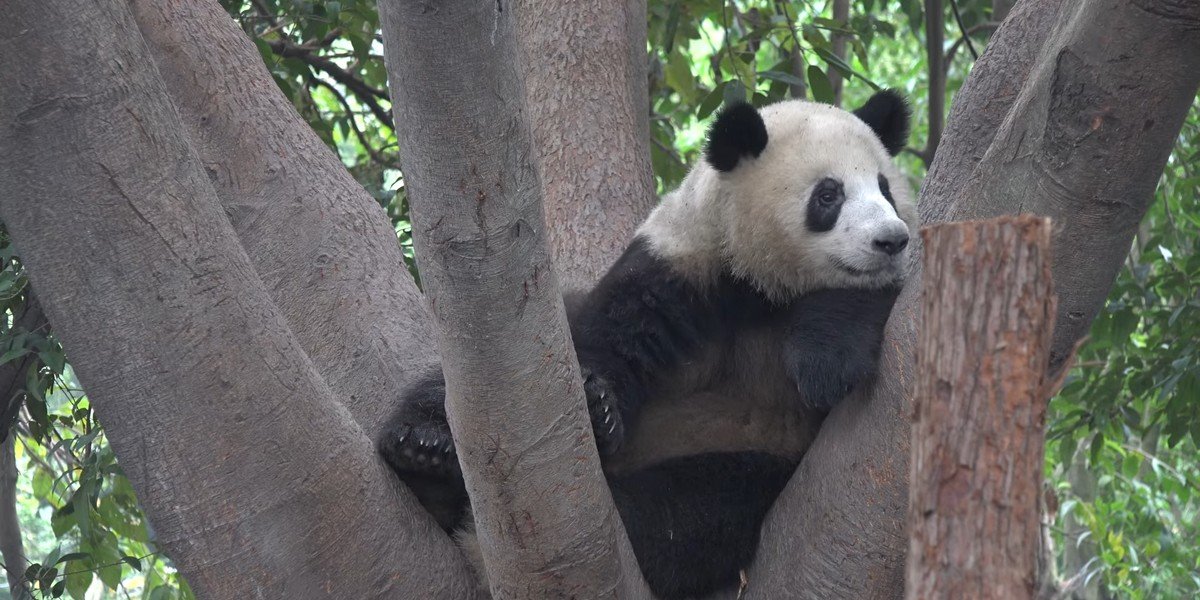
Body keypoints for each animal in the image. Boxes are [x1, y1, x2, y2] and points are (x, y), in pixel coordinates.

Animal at [379, 90, 912, 600]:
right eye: (829, 194)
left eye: (885, 188)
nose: (891, 240)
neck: (762, 287)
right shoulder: (680, 266)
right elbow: (608, 342)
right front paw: (597, 407)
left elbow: (869, 302)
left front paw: (826, 363)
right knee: (467, 388)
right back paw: (423, 451)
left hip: (751, 457)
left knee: (694, 512)